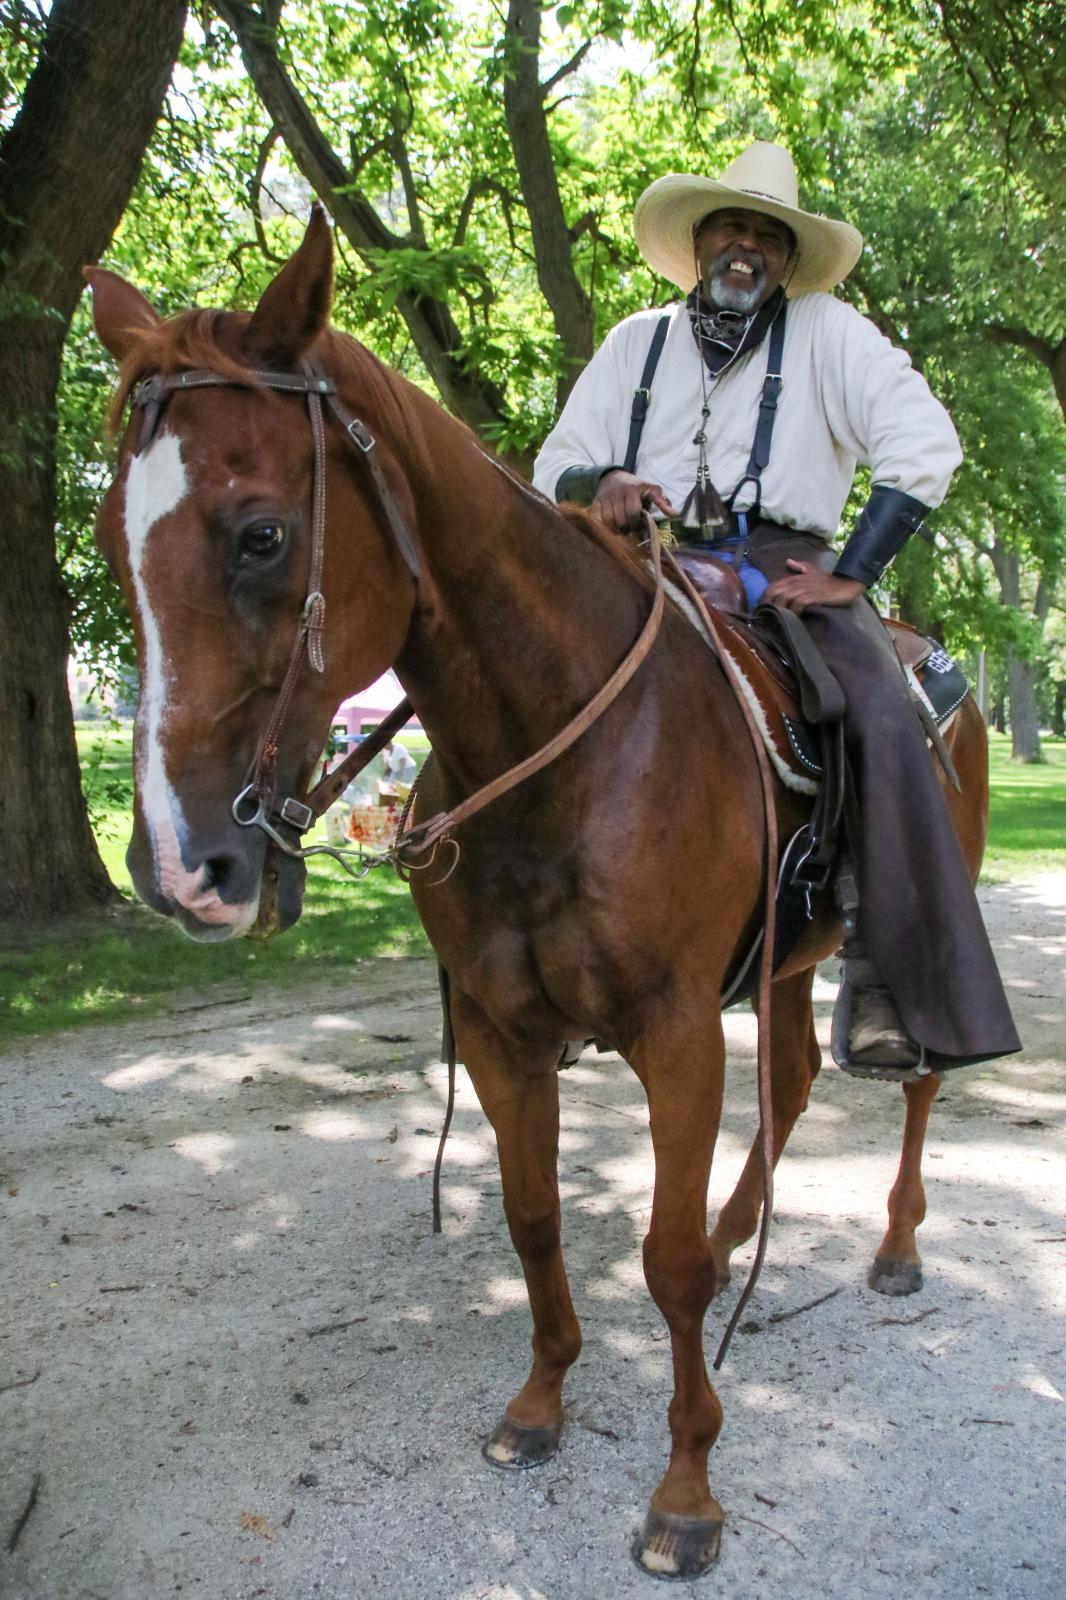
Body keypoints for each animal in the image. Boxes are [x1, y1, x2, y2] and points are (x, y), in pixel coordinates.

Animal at [87, 209, 985, 1574]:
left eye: (261, 533)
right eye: (106, 539)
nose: (183, 870)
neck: (557, 745)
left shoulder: (676, 1031)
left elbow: (666, 1262)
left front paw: (685, 1491)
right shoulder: (500, 1029)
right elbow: (533, 1218)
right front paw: (539, 1402)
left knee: (917, 1076)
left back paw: (892, 1245)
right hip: (782, 961)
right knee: (789, 1077)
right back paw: (748, 1230)